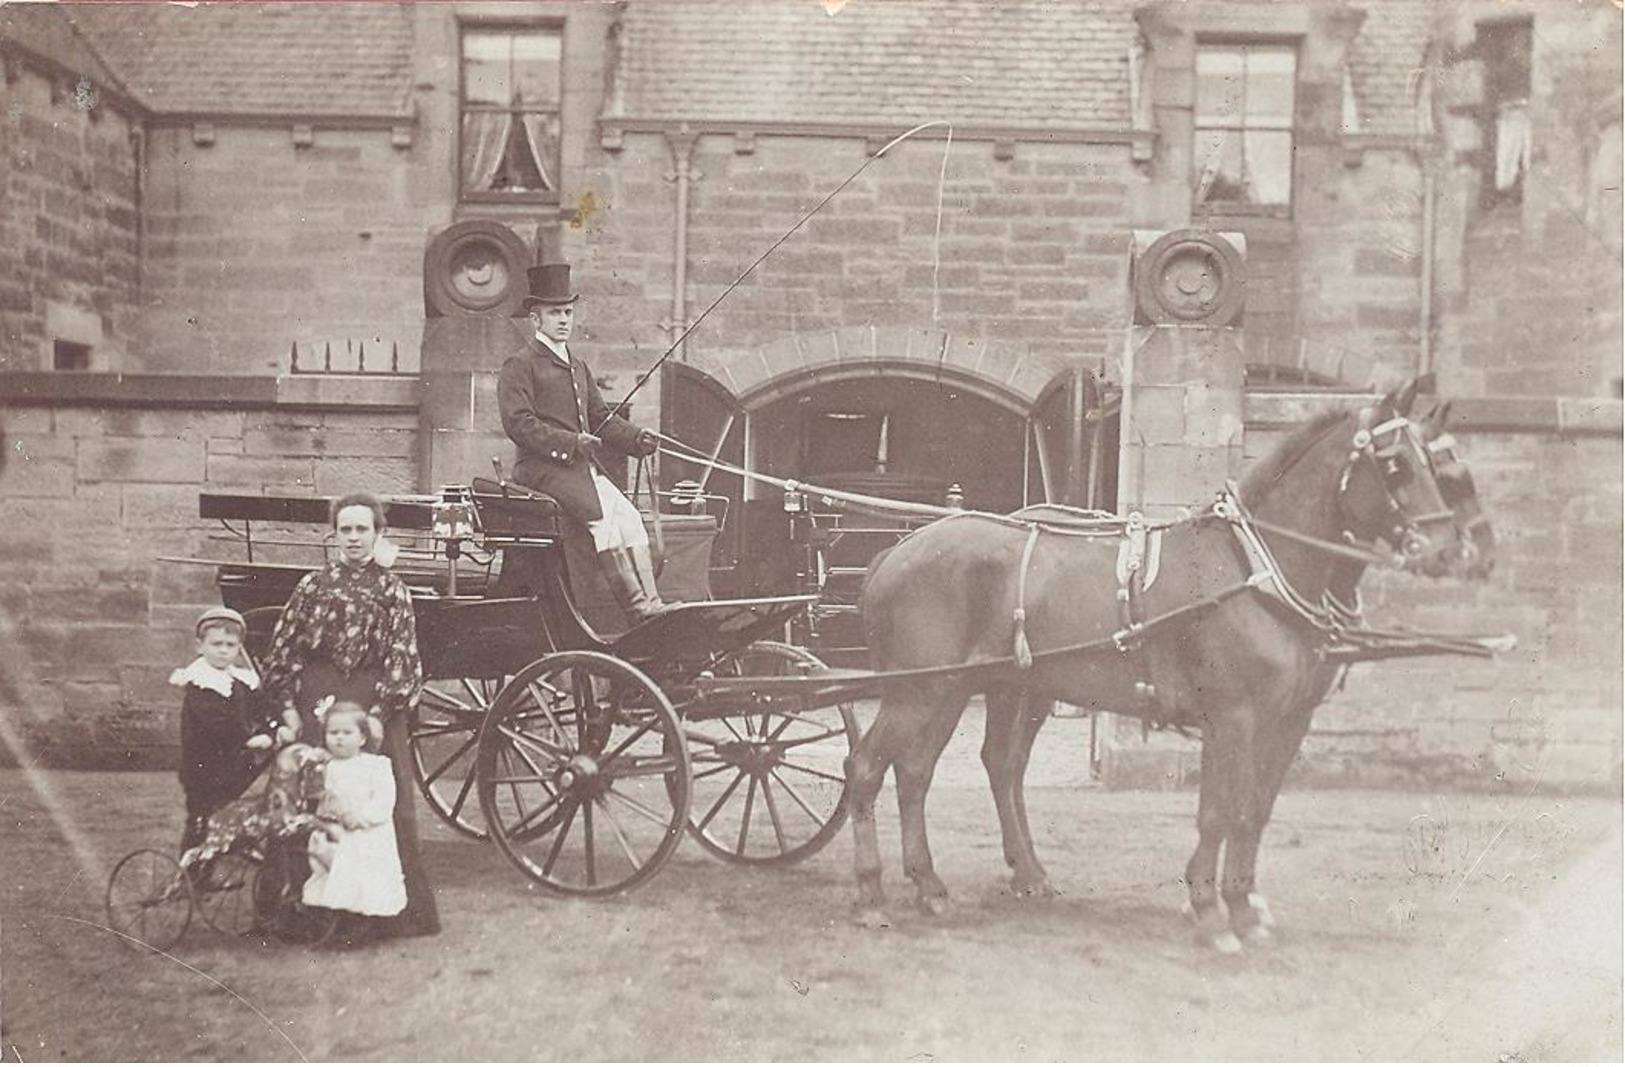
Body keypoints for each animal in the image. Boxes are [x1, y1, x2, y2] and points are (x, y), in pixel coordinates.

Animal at [851, 376, 1475, 948]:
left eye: (1435, 464)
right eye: (1395, 464)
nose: (1449, 551)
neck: (1252, 570)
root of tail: (895, 552)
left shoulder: (1288, 720)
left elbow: (1254, 810)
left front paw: (1244, 905)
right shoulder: (1233, 717)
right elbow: (1220, 811)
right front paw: (1210, 909)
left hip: (970, 688)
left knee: (930, 770)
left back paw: (943, 885)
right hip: (920, 690)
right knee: (867, 767)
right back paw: (872, 893)